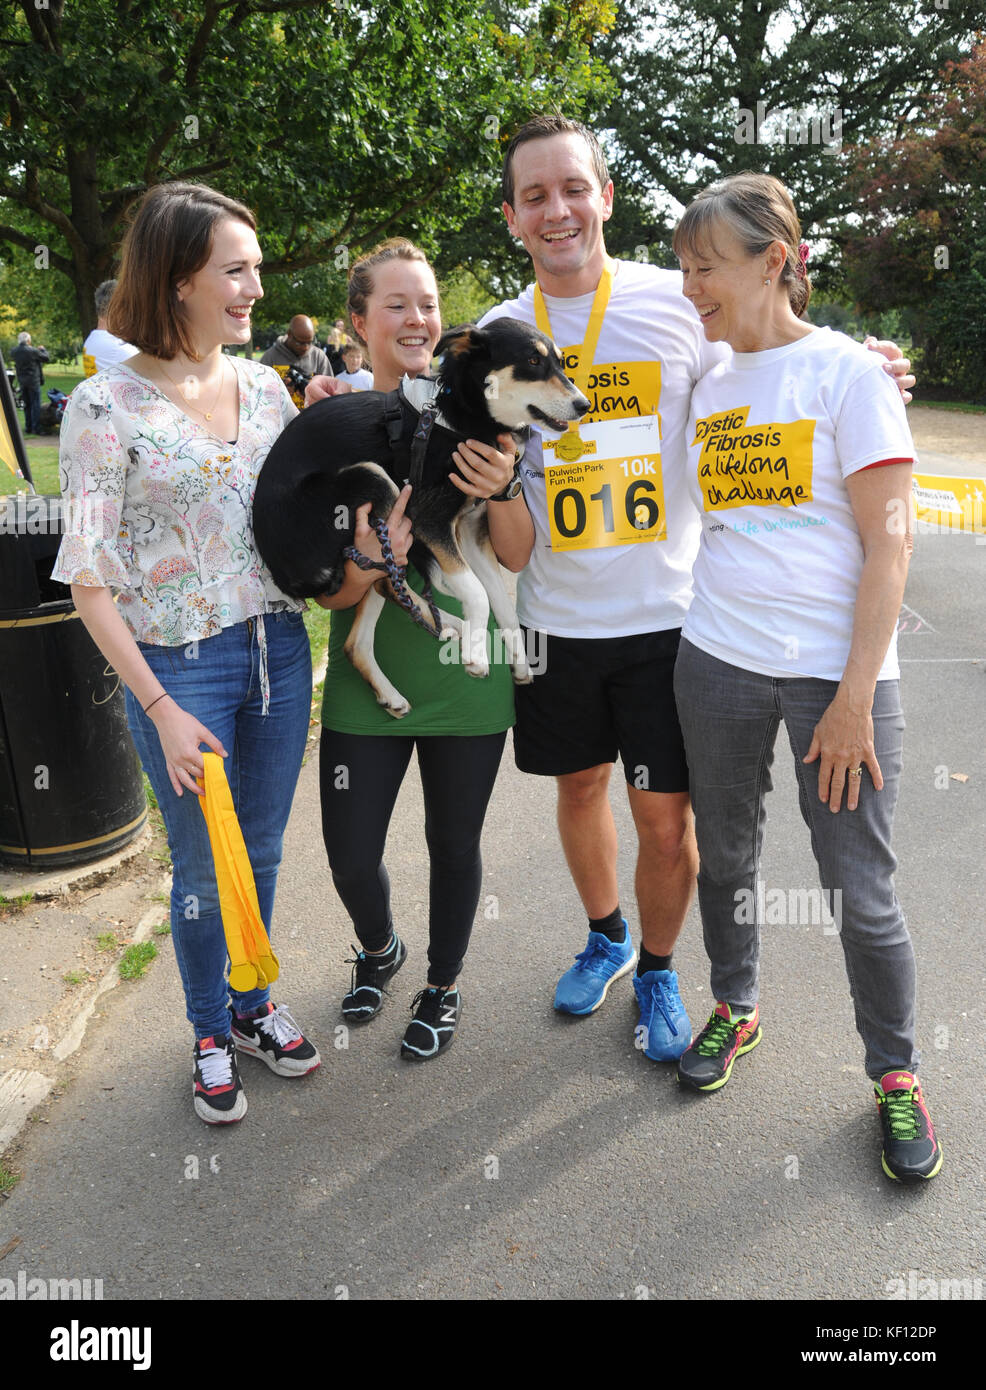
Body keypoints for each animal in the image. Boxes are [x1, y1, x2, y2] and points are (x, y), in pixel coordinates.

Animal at [255, 318, 592, 717]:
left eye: (560, 362)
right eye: (532, 361)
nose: (584, 405)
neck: (462, 415)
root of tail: (279, 569)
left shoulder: (470, 528)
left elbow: (500, 603)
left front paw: (520, 662)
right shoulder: (428, 519)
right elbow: (477, 592)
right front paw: (477, 656)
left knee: (365, 627)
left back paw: (421, 658)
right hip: (373, 484)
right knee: (390, 584)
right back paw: (453, 627)